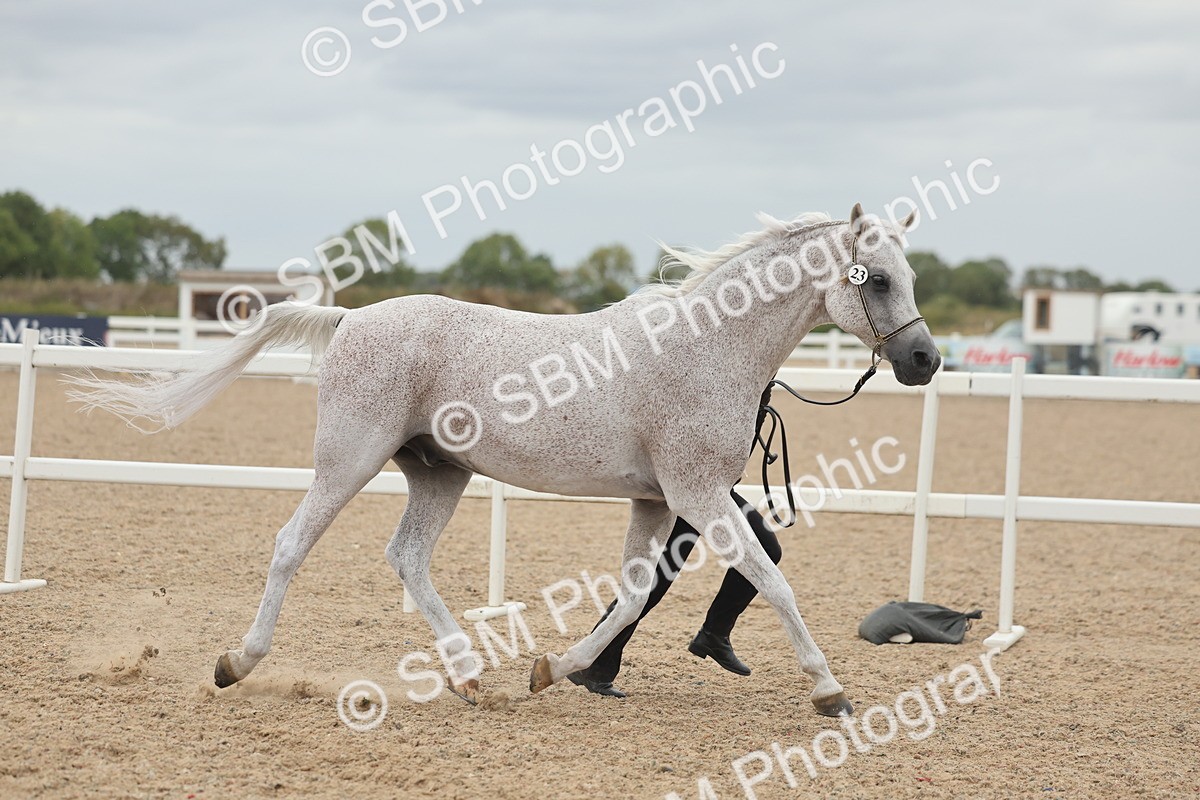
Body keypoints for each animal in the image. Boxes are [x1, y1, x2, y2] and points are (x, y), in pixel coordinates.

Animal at [68, 203, 939, 718]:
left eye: (909, 275)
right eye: (876, 277)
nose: (925, 360)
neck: (707, 347)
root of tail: (352, 319)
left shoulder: (660, 501)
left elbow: (633, 594)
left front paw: (556, 667)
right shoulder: (698, 493)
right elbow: (771, 580)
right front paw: (829, 689)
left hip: (439, 472)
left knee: (407, 557)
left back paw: (469, 675)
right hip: (349, 459)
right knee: (292, 545)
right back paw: (237, 664)